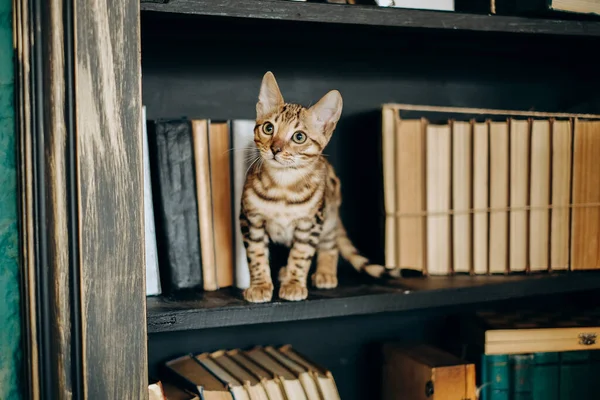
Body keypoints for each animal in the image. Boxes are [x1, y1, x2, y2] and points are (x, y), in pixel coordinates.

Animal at [238, 72, 398, 304]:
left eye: (299, 137)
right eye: (268, 128)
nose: (276, 149)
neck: (283, 184)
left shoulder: (310, 223)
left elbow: (301, 254)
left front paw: (294, 284)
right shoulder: (251, 220)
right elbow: (256, 254)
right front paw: (260, 285)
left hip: (328, 216)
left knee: (329, 244)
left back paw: (324, 273)